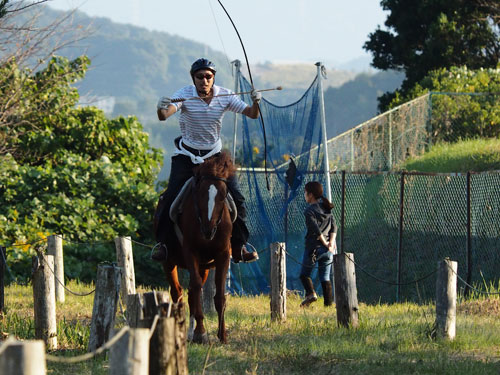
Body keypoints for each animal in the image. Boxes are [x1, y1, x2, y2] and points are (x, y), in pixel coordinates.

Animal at [162, 152, 236, 344]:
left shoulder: (223, 254)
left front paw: (222, 335)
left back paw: (190, 331)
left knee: (189, 293)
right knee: (178, 292)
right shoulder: (190, 252)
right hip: (169, 261)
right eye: (200, 192)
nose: (208, 229)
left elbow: (219, 294)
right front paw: (201, 332)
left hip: (205, 266)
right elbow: (195, 288)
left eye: (223, 194)